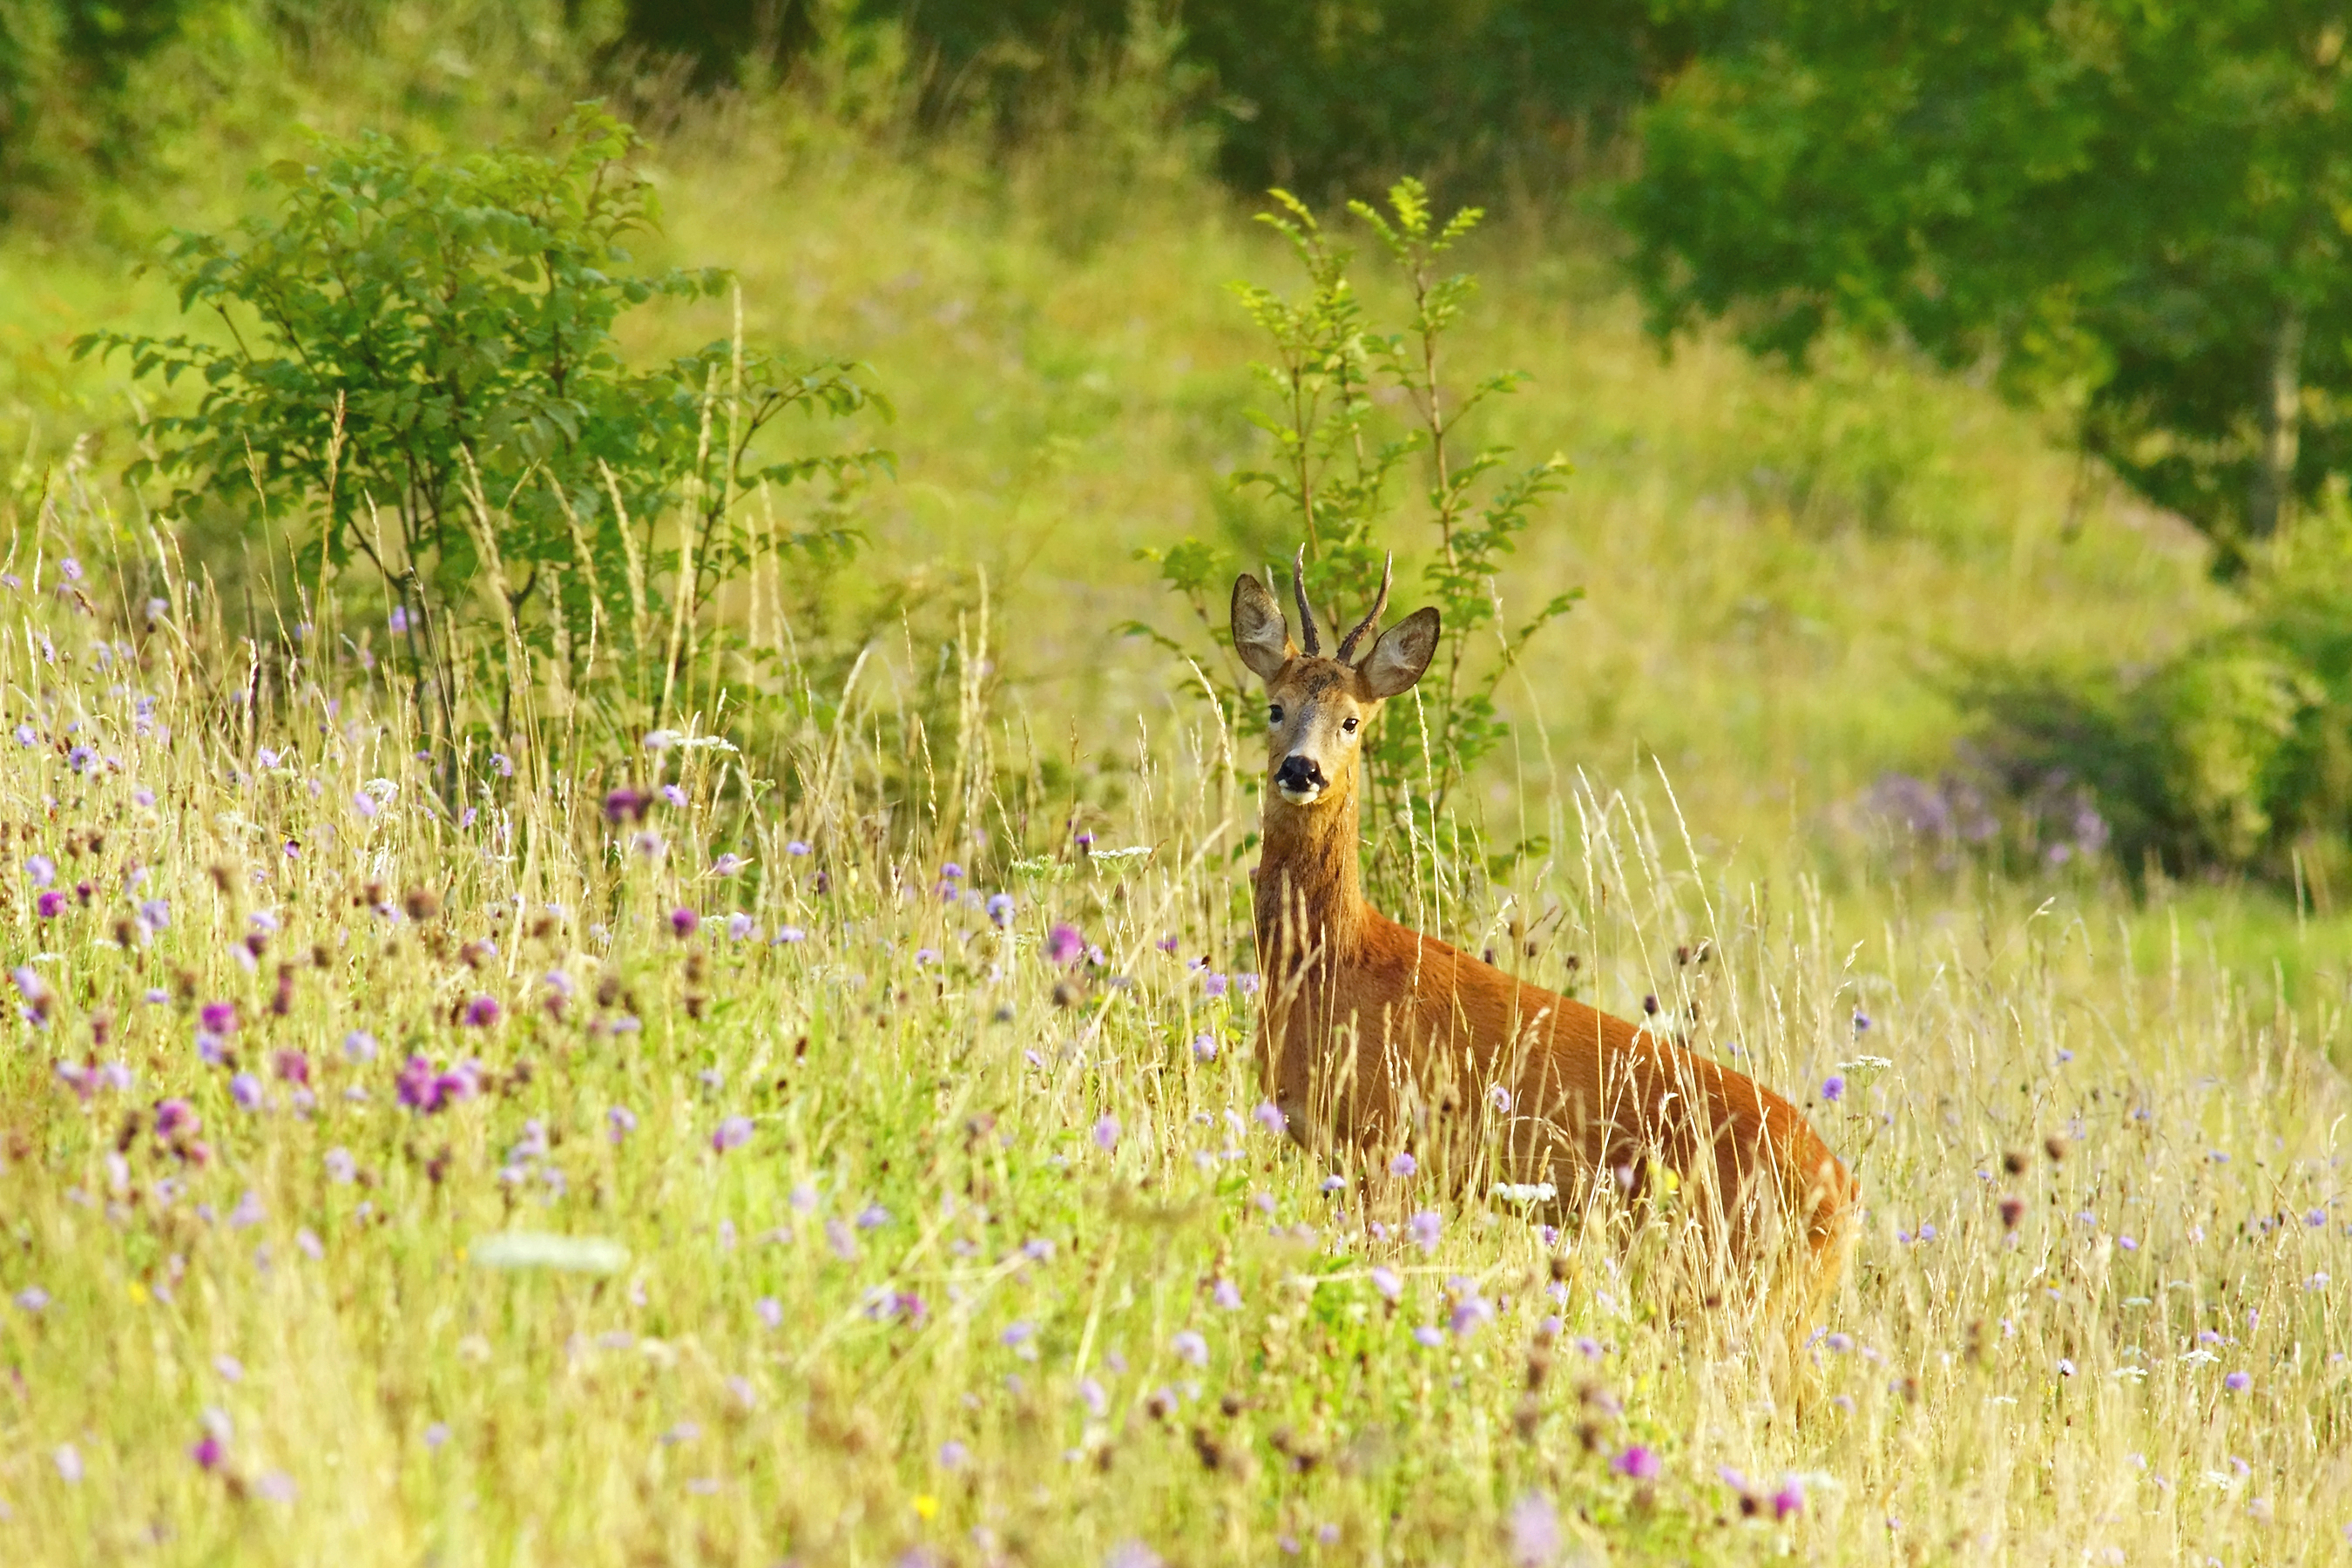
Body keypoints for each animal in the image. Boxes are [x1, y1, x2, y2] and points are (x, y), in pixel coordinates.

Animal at [1233, 551, 1855, 1329]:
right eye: (1274, 706)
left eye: (1352, 719)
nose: (1300, 770)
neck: (1331, 962)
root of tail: (1845, 1196)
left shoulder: (1386, 1138)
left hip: (1736, 1278)